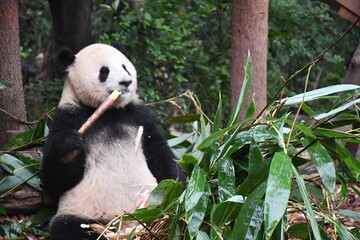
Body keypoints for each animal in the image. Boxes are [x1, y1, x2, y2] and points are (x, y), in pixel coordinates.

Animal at [41, 43, 186, 240]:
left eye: (125, 67)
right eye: (104, 71)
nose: (126, 82)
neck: (109, 110)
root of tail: (128, 226)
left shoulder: (139, 116)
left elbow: (160, 153)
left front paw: (177, 185)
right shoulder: (68, 117)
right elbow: (55, 180)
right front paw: (67, 147)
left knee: (172, 217)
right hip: (82, 212)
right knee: (68, 227)